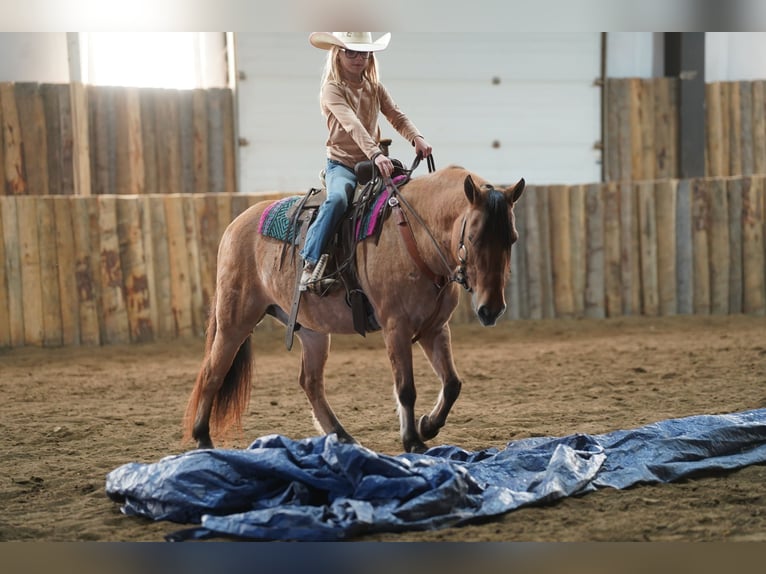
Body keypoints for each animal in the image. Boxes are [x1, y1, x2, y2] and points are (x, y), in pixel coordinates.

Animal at [183, 163, 525, 453]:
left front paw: (427, 425)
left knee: (310, 383)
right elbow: (405, 388)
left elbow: (453, 383)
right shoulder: (396, 327)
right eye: (474, 236)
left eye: (512, 238)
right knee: (213, 371)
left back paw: (343, 437)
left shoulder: (434, 328)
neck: (414, 235)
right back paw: (202, 439)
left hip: (312, 331)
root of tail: (234, 226)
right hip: (235, 319)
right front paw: (413, 440)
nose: (491, 309)